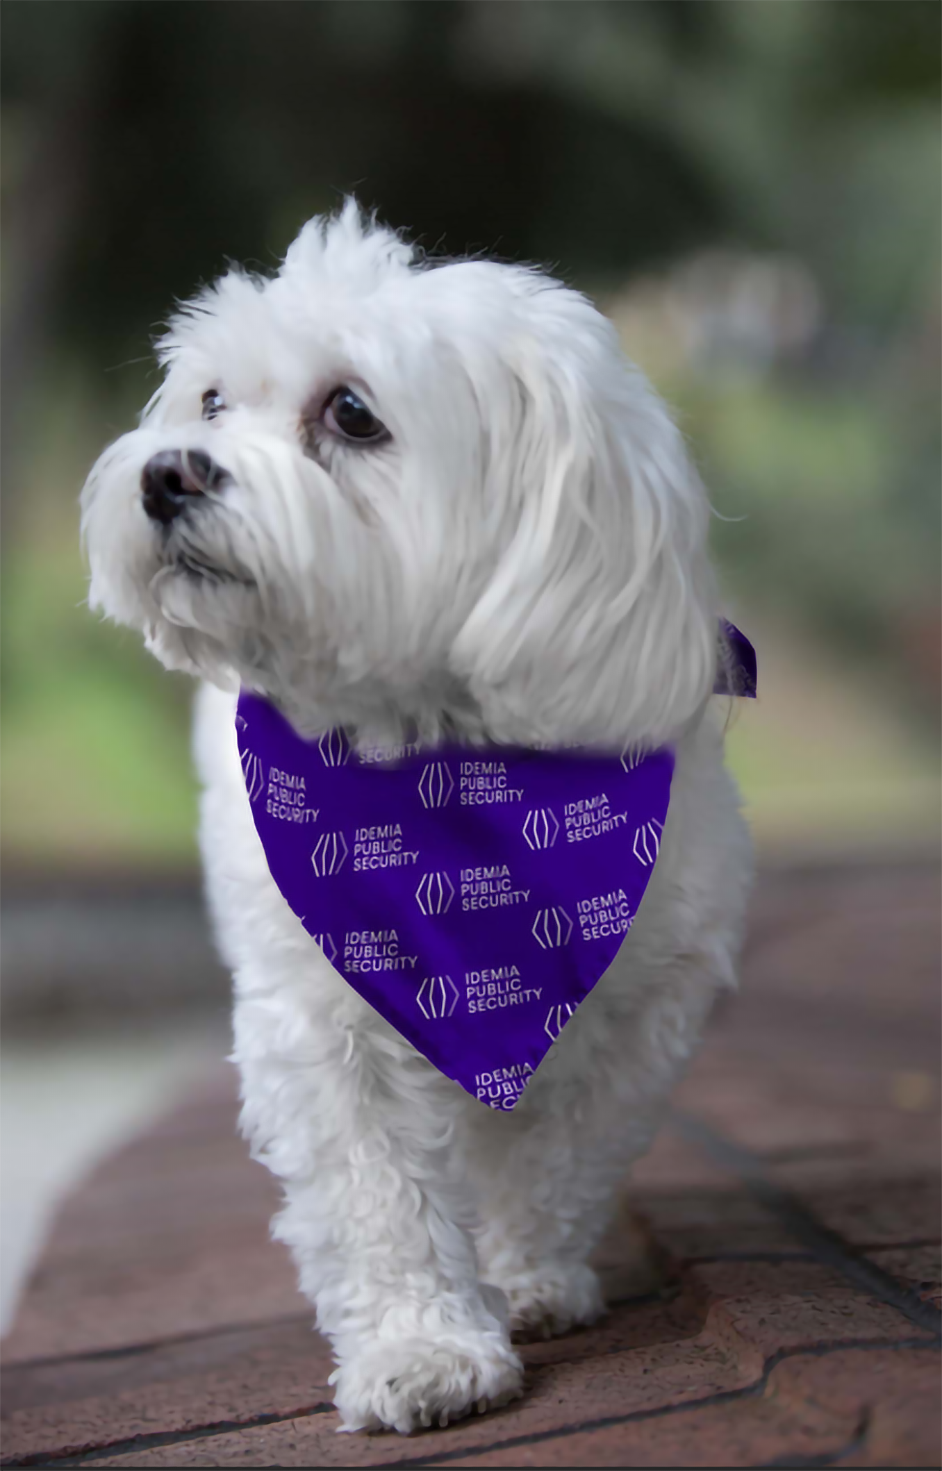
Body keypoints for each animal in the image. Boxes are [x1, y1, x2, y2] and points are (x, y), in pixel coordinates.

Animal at [84, 201, 753, 1429]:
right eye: (211, 401)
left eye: (351, 412)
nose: (167, 472)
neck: (443, 767)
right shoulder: (326, 1005)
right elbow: (375, 1192)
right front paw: (424, 1345)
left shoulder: (649, 997)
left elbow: (563, 1145)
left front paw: (528, 1271)